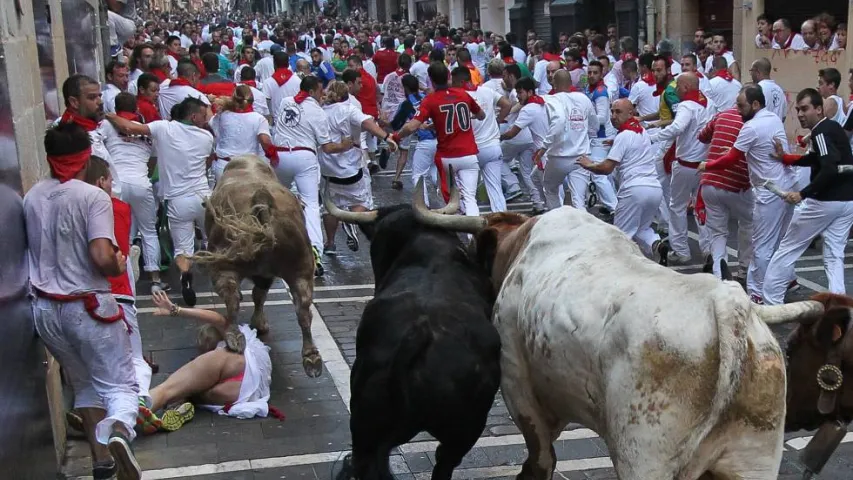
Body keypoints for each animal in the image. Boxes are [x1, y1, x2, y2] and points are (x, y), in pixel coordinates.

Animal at [193, 156, 322, 376]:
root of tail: (263, 205)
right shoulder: (267, 274)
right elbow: (259, 294)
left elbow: (256, 295)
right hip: (301, 268)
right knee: (303, 308)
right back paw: (312, 358)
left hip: (224, 266)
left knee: (232, 298)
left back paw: (234, 337)